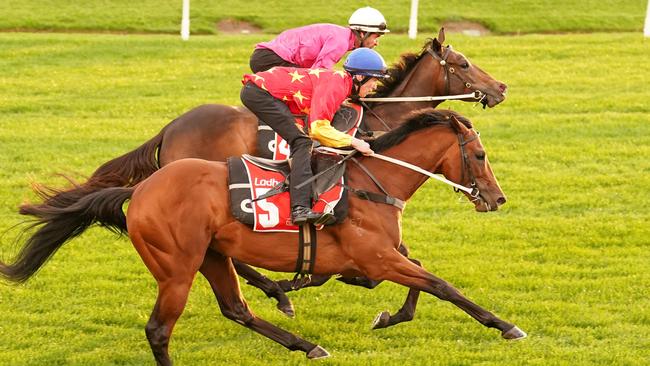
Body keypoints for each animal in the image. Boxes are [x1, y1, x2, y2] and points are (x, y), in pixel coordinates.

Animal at [2, 109, 524, 364]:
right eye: (479, 155)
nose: (497, 198)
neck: (370, 184)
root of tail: (141, 189)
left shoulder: (381, 257)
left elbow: (417, 279)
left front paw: (385, 316)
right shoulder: (378, 256)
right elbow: (440, 284)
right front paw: (505, 325)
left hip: (211, 255)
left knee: (236, 309)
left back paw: (305, 343)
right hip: (177, 267)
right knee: (159, 329)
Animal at [21, 30, 506, 324]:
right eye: (463, 63)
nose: (501, 88)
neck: (379, 121)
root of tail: (172, 127)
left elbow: (411, 264)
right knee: (234, 260)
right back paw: (280, 292)